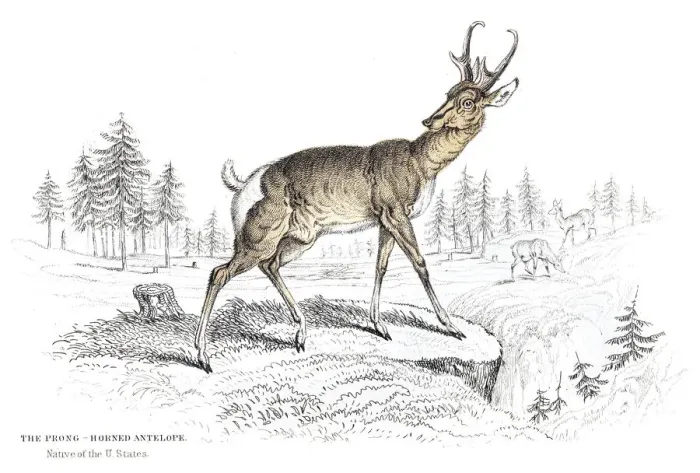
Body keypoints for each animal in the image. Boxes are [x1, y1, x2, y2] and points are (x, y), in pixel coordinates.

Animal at [194, 22, 519, 373]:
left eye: (466, 100)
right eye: (449, 93)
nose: (430, 119)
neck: (418, 161)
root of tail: (245, 183)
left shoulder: (385, 221)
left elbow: (380, 266)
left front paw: (379, 325)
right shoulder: (395, 214)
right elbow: (420, 263)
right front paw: (452, 327)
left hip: (300, 239)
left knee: (269, 266)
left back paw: (300, 335)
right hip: (258, 240)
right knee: (220, 272)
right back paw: (203, 357)